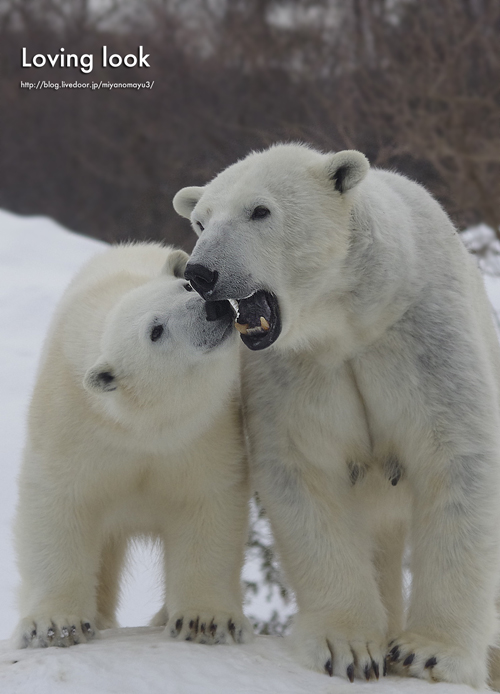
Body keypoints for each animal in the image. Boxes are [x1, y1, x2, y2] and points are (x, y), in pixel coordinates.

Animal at [13, 243, 252, 652]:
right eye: (155, 331)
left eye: (186, 287)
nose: (213, 308)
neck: (142, 424)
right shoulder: (72, 423)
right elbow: (57, 502)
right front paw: (56, 625)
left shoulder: (204, 429)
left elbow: (207, 501)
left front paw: (203, 620)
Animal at [174, 147, 500, 692]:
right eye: (200, 220)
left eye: (259, 211)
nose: (201, 273)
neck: (353, 317)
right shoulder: (297, 373)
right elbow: (304, 471)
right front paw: (349, 648)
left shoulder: (423, 340)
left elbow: (457, 460)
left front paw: (429, 652)